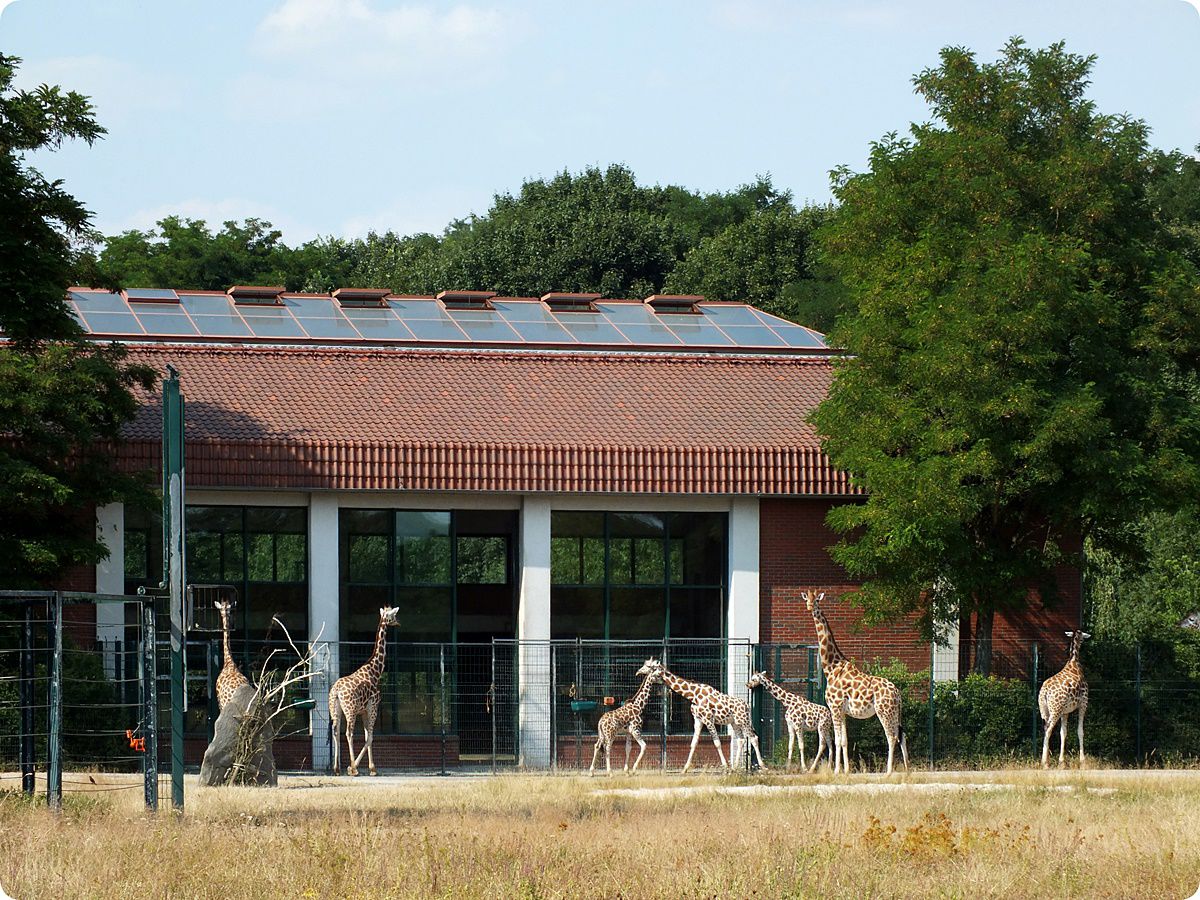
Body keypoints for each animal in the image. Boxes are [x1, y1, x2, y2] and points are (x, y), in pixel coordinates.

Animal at [329, 606, 399, 776]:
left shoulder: (364, 711)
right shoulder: (373, 707)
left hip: (335, 709)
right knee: (348, 733)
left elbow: (368, 736)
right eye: (394, 615)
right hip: (350, 710)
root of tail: (336, 691)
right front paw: (360, 767)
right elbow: (370, 737)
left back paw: (336, 768)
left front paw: (372, 768)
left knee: (335, 731)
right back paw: (352, 769)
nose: (398, 623)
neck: (375, 671)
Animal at [805, 590, 908, 775]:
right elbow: (845, 740)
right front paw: (846, 770)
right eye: (807, 599)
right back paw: (907, 769)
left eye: (816, 600)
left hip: (884, 711)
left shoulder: (835, 707)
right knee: (902, 735)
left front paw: (837, 771)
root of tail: (897, 693)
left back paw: (888, 772)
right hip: (895, 712)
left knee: (891, 736)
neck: (831, 667)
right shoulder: (843, 711)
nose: (810, 606)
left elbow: (837, 740)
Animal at [1038, 630, 1090, 769]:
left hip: (1045, 710)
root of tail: (1044, 692)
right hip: (1055, 710)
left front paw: (1061, 762)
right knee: (1048, 729)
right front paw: (1082, 761)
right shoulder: (1083, 704)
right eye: (1083, 636)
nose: (1085, 639)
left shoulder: (1065, 712)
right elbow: (1080, 731)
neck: (1073, 662)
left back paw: (1046, 761)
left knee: (1045, 728)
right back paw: (1045, 763)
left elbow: (1063, 733)